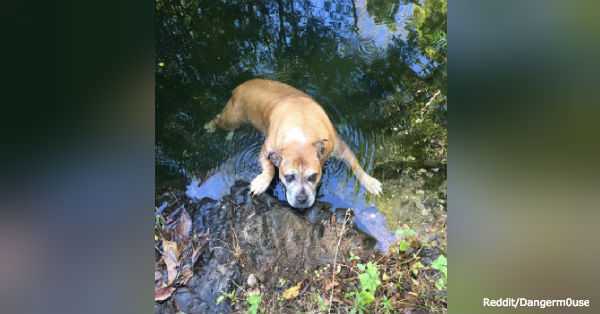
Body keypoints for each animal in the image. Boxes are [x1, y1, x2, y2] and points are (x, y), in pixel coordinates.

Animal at [206, 78, 382, 209]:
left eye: (313, 176)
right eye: (288, 177)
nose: (302, 199)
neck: (301, 134)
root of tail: (241, 86)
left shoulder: (339, 147)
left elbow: (355, 164)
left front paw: (370, 182)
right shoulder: (266, 150)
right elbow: (269, 168)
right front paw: (262, 182)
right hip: (233, 117)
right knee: (219, 119)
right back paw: (210, 126)